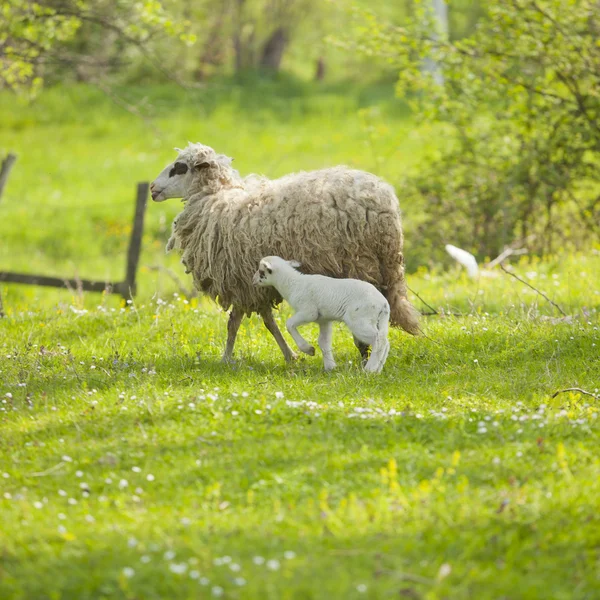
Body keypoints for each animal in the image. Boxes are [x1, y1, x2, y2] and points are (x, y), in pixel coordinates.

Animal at [254, 255, 392, 372]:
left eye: (261, 271)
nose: (253, 280)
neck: (292, 283)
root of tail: (384, 304)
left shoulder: (308, 311)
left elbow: (289, 324)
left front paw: (308, 350)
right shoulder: (324, 319)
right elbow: (323, 341)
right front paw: (330, 367)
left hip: (359, 319)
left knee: (379, 340)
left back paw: (369, 369)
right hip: (377, 320)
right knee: (385, 341)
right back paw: (378, 369)